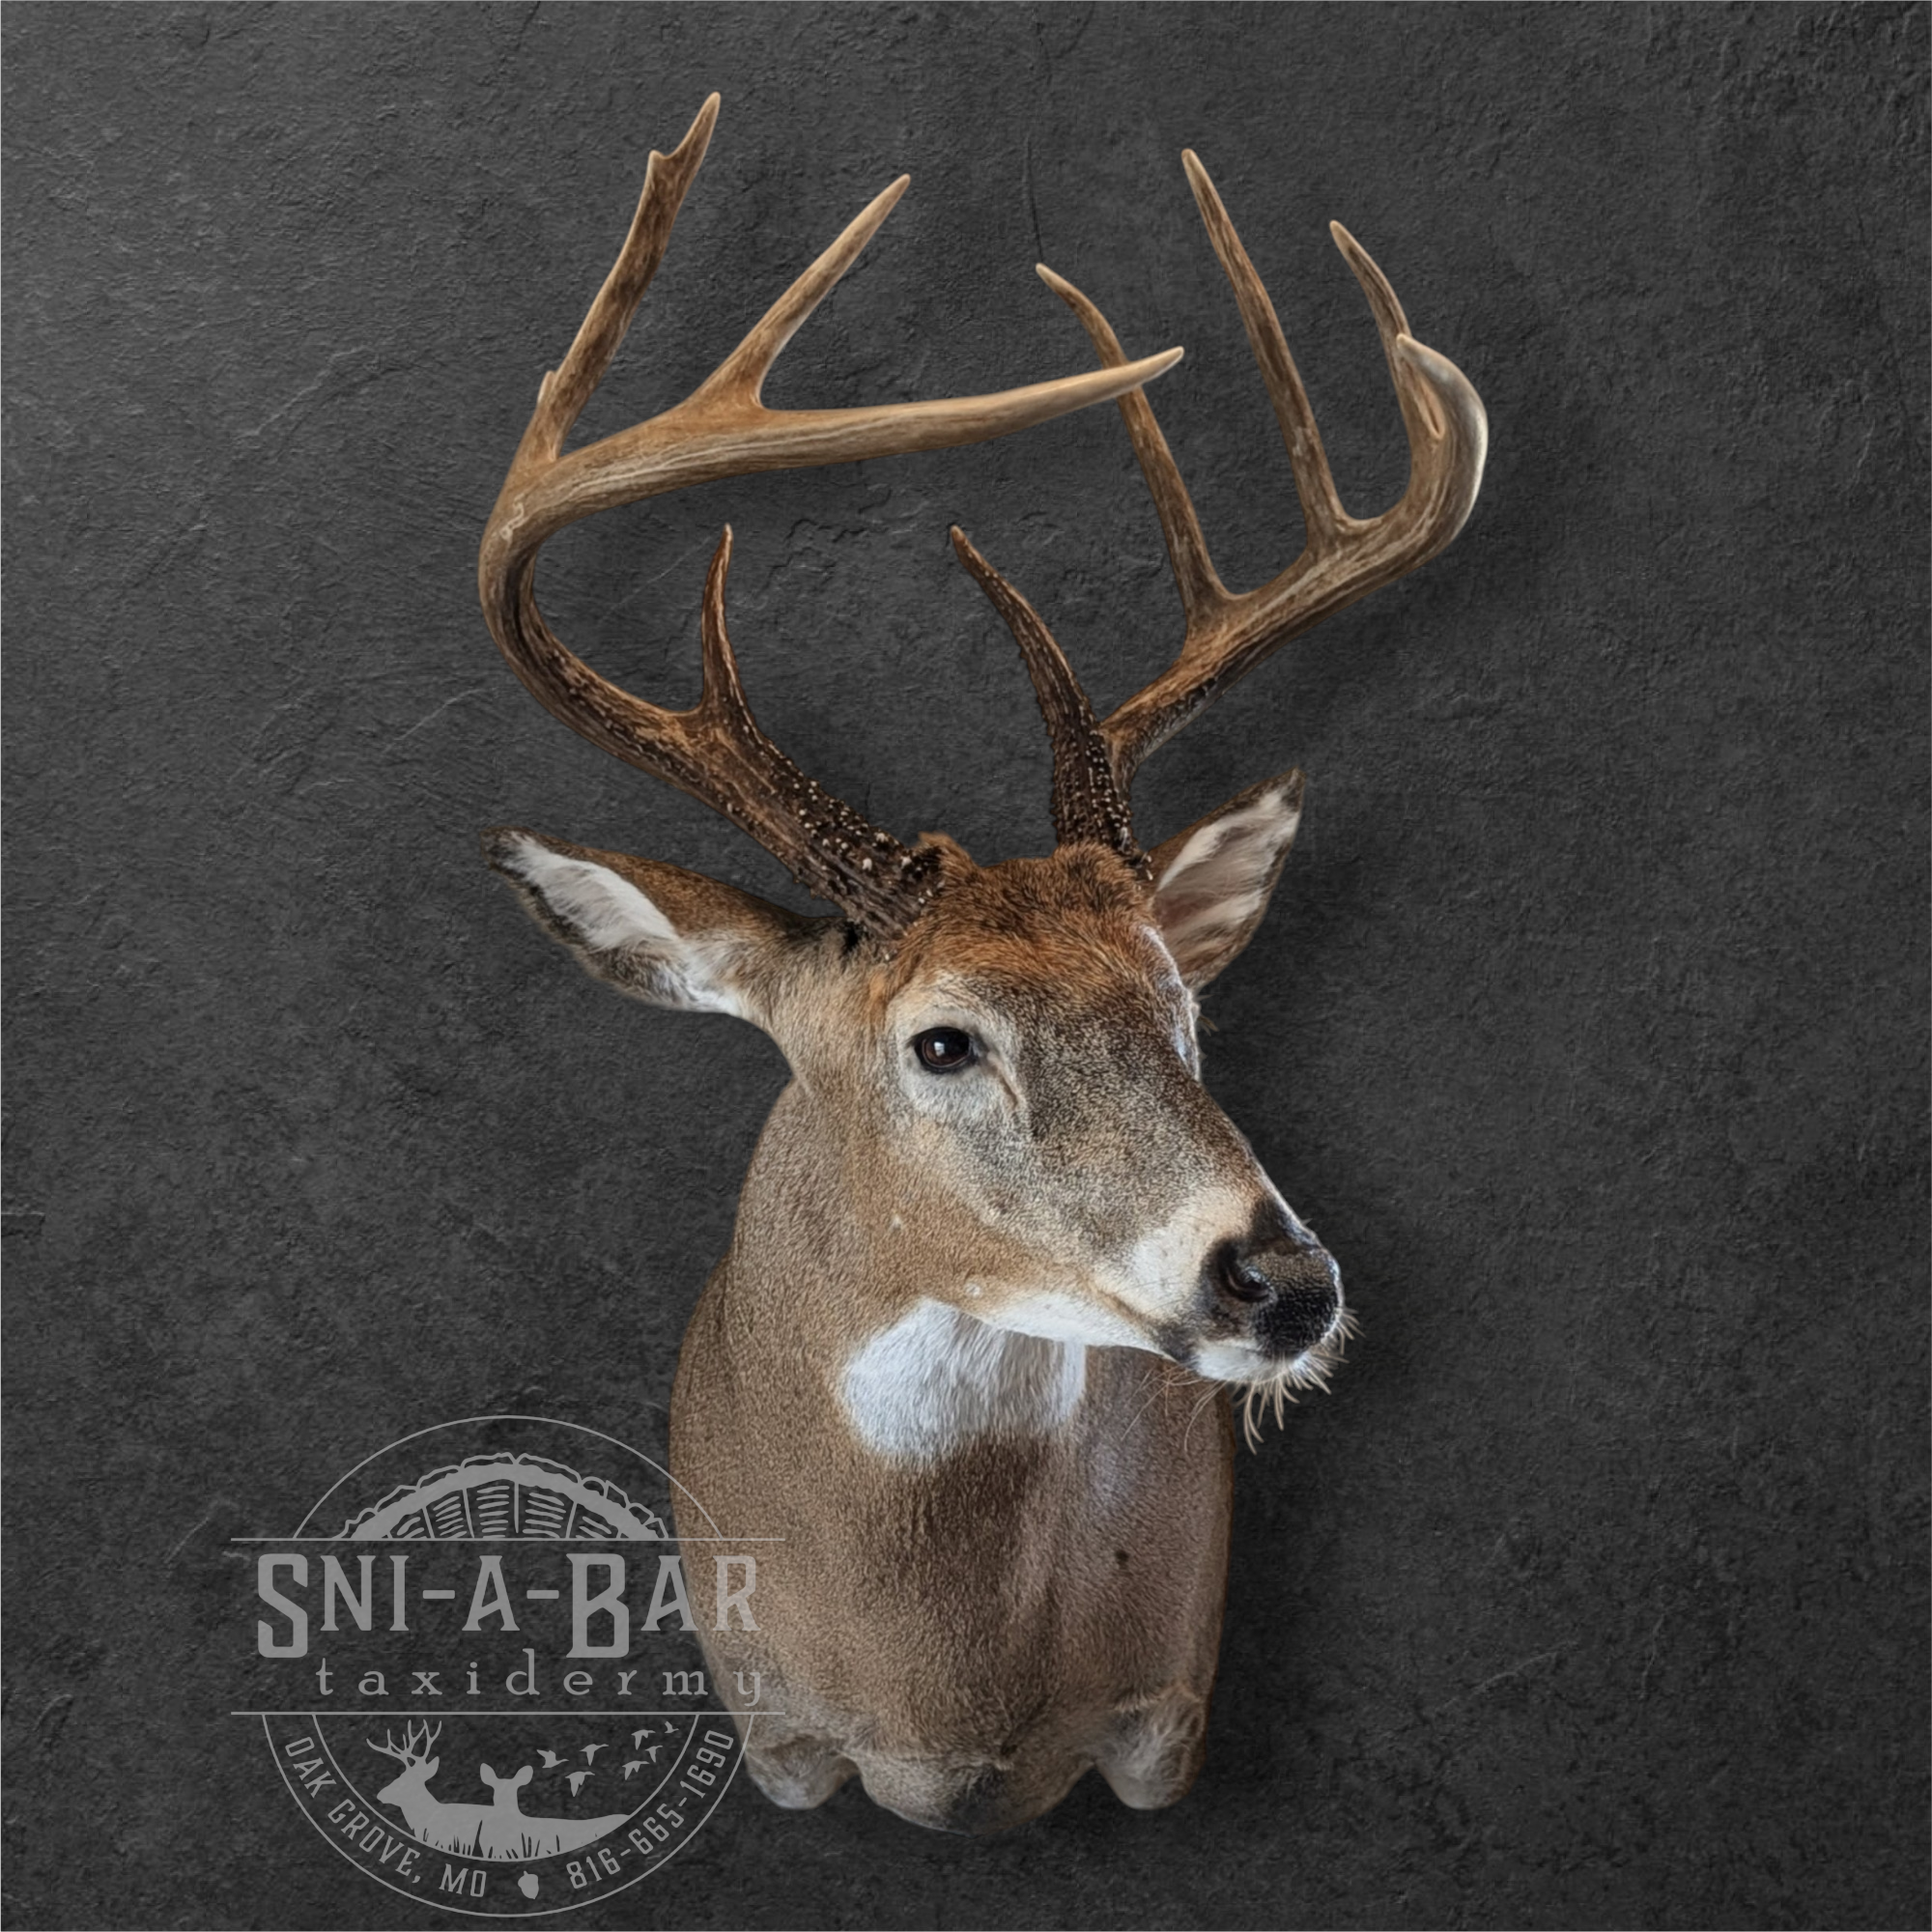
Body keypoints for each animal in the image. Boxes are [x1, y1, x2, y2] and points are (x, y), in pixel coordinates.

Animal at [478, 96, 1485, 1834]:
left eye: (1184, 1008)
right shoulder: (776, 1723)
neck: (938, 1713)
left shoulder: (1167, 1712)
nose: (1284, 1280)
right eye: (943, 1040)